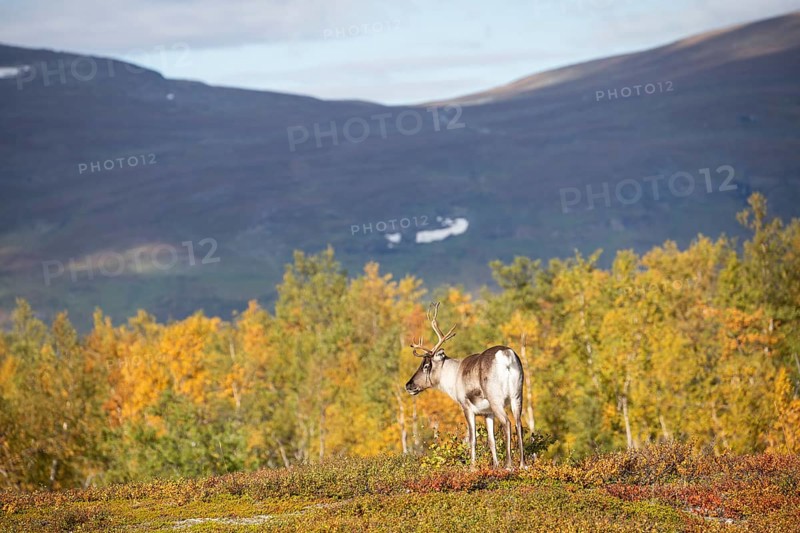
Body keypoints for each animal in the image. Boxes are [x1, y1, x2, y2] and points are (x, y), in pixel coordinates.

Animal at [405, 302, 526, 469]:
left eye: (426, 365)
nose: (408, 385)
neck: (453, 377)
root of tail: (506, 355)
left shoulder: (466, 406)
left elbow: (472, 439)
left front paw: (472, 467)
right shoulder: (487, 412)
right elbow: (491, 440)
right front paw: (495, 466)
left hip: (496, 398)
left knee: (507, 423)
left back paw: (508, 465)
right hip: (517, 395)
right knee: (519, 424)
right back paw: (522, 464)